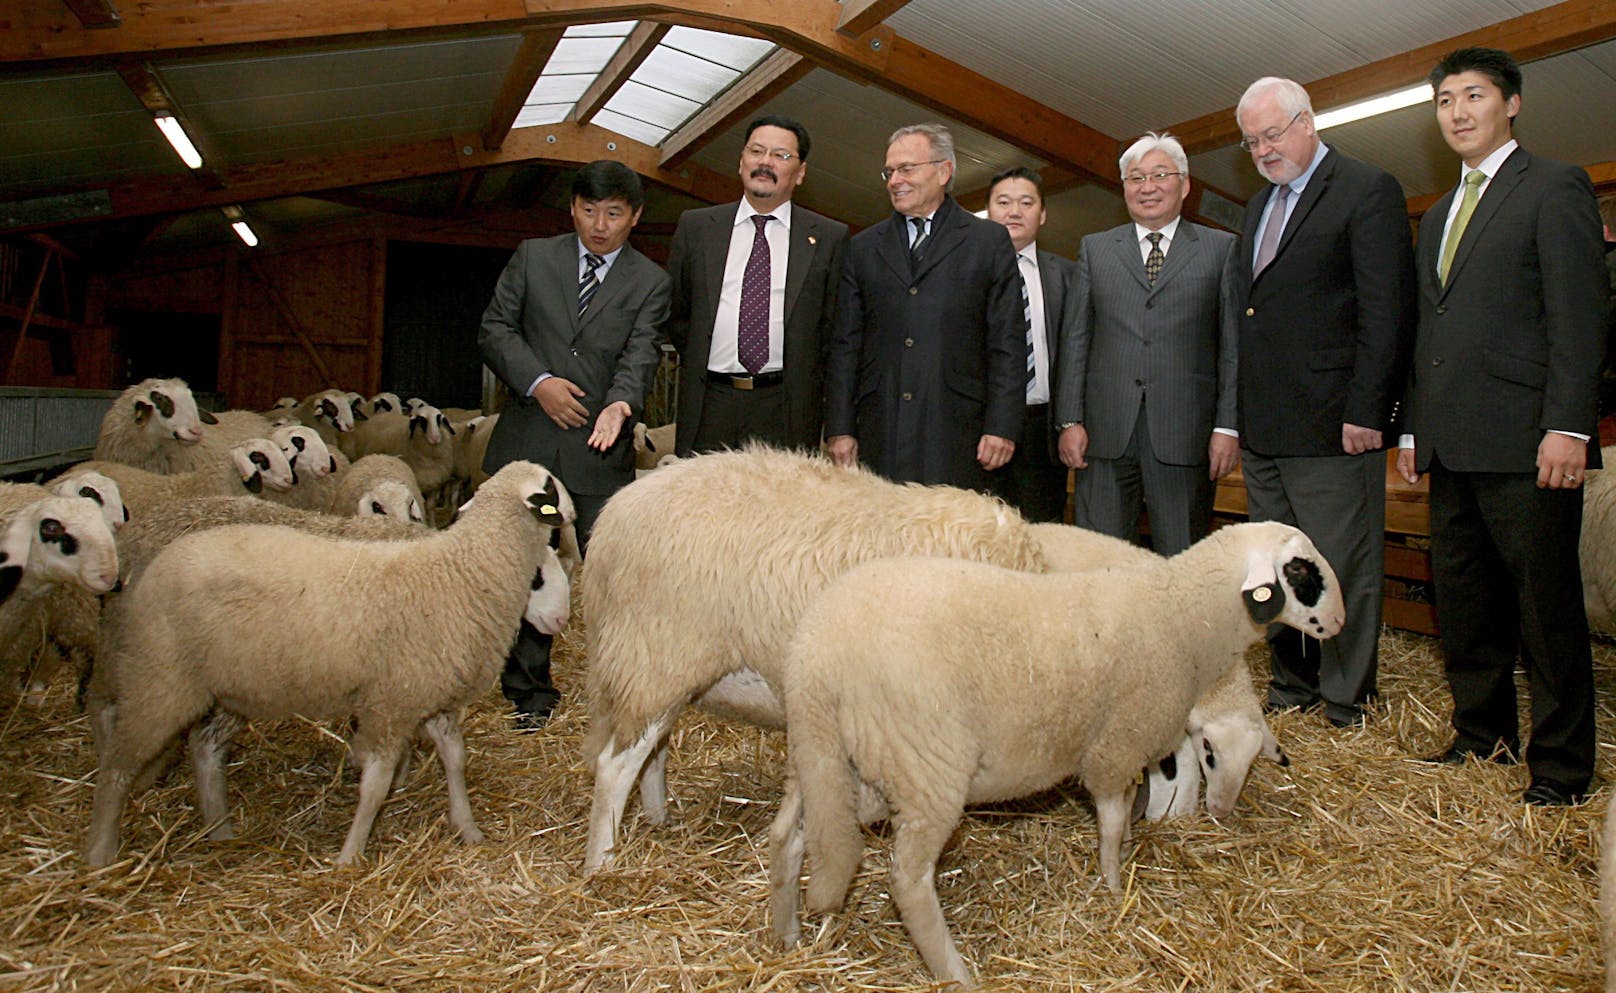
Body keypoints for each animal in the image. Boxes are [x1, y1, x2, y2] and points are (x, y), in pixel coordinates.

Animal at [85, 462, 575, 866]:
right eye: (538, 577)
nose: (560, 619)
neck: (463, 569)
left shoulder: (422, 693)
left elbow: (455, 758)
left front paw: (467, 827)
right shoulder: (391, 703)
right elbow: (375, 781)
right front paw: (351, 853)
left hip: (230, 685)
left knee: (203, 748)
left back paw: (219, 831)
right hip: (159, 674)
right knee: (118, 759)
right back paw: (101, 851)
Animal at [581, 446, 1047, 873]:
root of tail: (614, 517)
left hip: (660, 667)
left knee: (652, 752)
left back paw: (659, 820)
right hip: (655, 654)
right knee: (615, 766)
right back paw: (600, 863)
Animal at [762, 520, 1344, 989]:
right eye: (1301, 571)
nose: (1339, 622)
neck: (1178, 611)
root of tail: (816, 658)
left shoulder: (1117, 746)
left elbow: (1125, 811)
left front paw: (1123, 862)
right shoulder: (1115, 745)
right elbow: (1110, 823)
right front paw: (1113, 887)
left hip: (826, 759)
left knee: (789, 838)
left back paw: (787, 936)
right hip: (926, 766)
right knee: (908, 880)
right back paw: (955, 973)